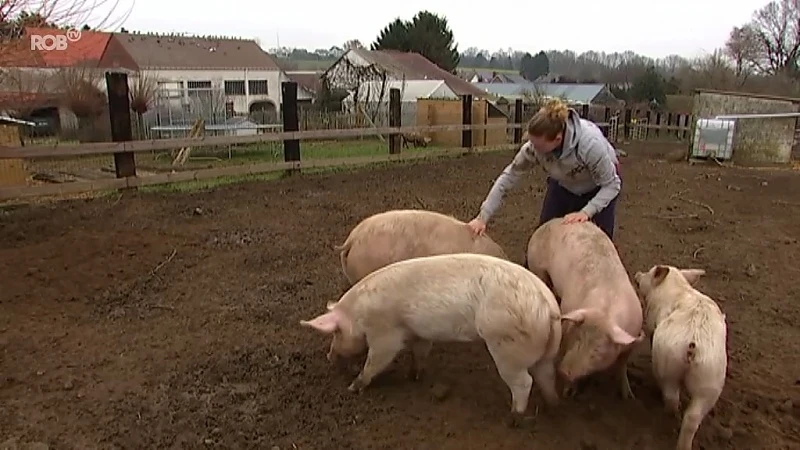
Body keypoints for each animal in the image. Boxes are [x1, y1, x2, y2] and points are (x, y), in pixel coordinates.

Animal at [300, 251, 564, 420]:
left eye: (335, 332)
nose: (329, 356)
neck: (359, 313)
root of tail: (549, 306)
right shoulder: (420, 332)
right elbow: (420, 352)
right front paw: (414, 376)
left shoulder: (385, 333)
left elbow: (376, 361)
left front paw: (353, 387)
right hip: (545, 351)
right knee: (547, 375)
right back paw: (552, 406)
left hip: (507, 346)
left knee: (524, 382)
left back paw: (513, 418)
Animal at [524, 218, 644, 398]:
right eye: (576, 338)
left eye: (597, 351)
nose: (563, 372)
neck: (604, 312)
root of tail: (551, 222)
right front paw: (568, 392)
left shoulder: (630, 341)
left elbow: (622, 366)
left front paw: (628, 396)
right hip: (537, 266)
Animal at [636, 264, 728, 450]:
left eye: (649, 272)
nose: (637, 274)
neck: (679, 286)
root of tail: (692, 344)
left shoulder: (650, 321)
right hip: (710, 380)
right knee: (692, 417)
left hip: (667, 363)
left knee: (671, 398)